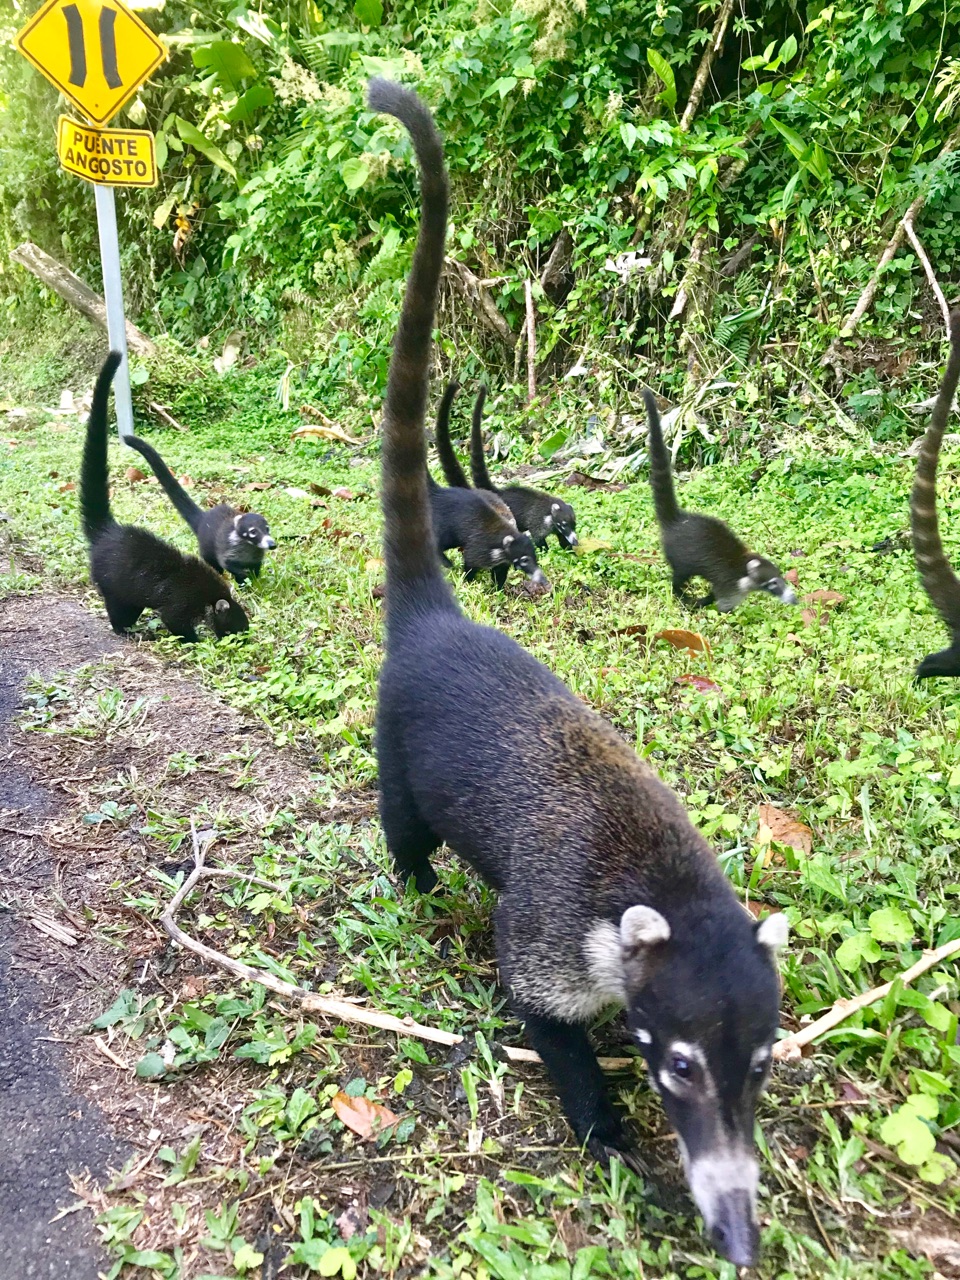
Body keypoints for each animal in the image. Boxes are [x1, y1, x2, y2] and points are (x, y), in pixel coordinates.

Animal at [80, 352, 249, 643]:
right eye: (235, 632)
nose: (244, 639)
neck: (210, 595)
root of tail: (105, 532)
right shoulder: (180, 600)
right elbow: (174, 621)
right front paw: (195, 640)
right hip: (115, 583)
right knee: (119, 608)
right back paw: (123, 628)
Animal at [124, 434, 275, 582]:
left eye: (267, 529)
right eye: (253, 532)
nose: (272, 545)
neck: (250, 547)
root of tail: (203, 517)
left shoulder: (256, 559)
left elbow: (256, 570)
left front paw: (254, 581)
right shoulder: (227, 550)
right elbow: (228, 564)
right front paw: (243, 577)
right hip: (206, 548)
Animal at [643, 389, 797, 612]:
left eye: (781, 579)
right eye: (772, 584)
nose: (794, 600)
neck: (743, 567)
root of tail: (678, 519)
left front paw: (705, 599)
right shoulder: (729, 584)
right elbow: (724, 605)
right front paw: (709, 605)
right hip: (681, 559)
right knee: (677, 578)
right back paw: (681, 594)